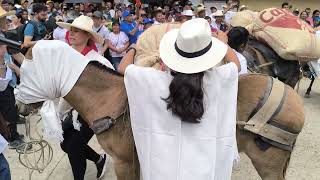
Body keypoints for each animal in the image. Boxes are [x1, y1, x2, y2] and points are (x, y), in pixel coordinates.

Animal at [16, 59, 304, 179]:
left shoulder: (123, 161)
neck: (107, 99)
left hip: (267, 162)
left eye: (26, 74)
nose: (18, 106)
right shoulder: (137, 158)